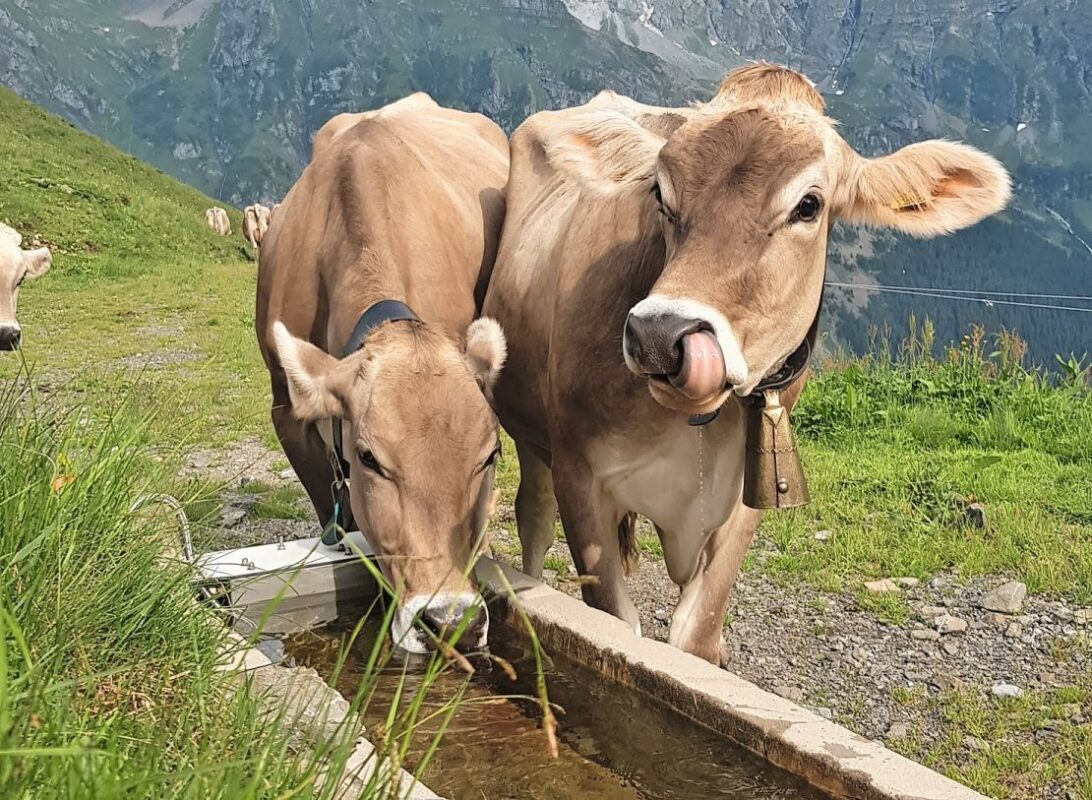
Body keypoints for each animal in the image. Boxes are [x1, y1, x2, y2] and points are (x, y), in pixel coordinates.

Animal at [482, 60, 1009, 663]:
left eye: (809, 204)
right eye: (659, 193)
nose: (660, 336)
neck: (691, 427)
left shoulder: (749, 492)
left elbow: (696, 633)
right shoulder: (580, 475)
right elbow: (616, 622)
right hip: (534, 441)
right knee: (534, 517)